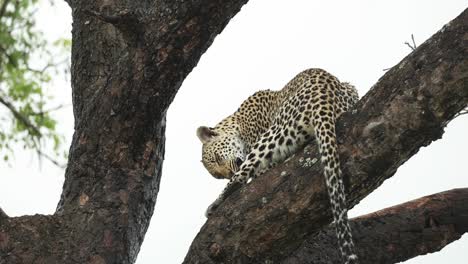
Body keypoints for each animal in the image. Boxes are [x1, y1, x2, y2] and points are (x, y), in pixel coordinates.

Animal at [197, 68, 358, 264]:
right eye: (218, 176)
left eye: (217, 158)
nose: (228, 173)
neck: (238, 121)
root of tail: (325, 91)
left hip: (276, 131)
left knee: (242, 175)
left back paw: (215, 203)